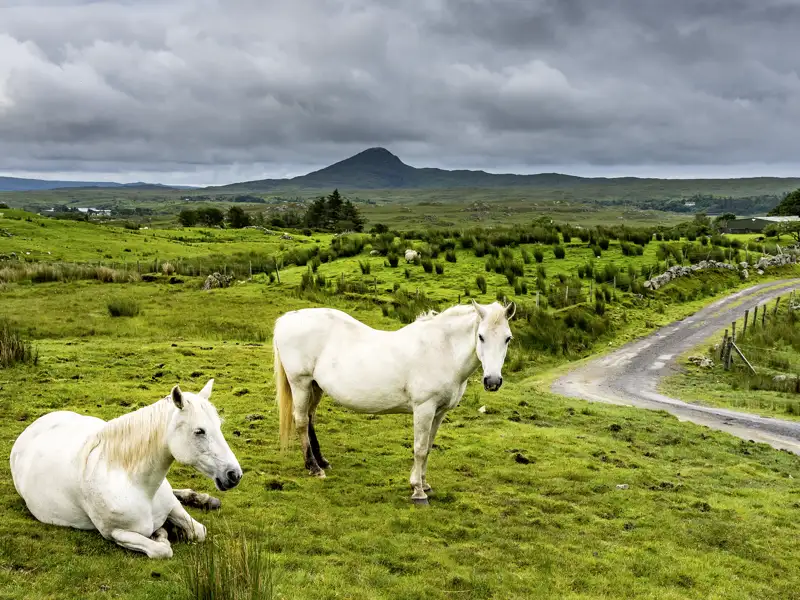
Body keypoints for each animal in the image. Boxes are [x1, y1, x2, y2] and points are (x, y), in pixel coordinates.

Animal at [9, 379, 243, 558]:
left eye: (218, 427)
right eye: (199, 431)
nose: (234, 475)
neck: (136, 485)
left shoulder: (172, 506)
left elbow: (199, 531)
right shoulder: (116, 533)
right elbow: (161, 550)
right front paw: (161, 535)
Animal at [273, 300, 515, 504]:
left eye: (507, 338)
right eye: (481, 336)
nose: (493, 381)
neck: (441, 350)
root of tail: (287, 319)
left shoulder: (439, 413)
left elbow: (428, 448)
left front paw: (425, 484)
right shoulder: (424, 409)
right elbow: (419, 449)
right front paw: (418, 491)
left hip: (316, 386)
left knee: (310, 419)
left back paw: (321, 461)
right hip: (301, 383)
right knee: (301, 421)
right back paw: (313, 468)